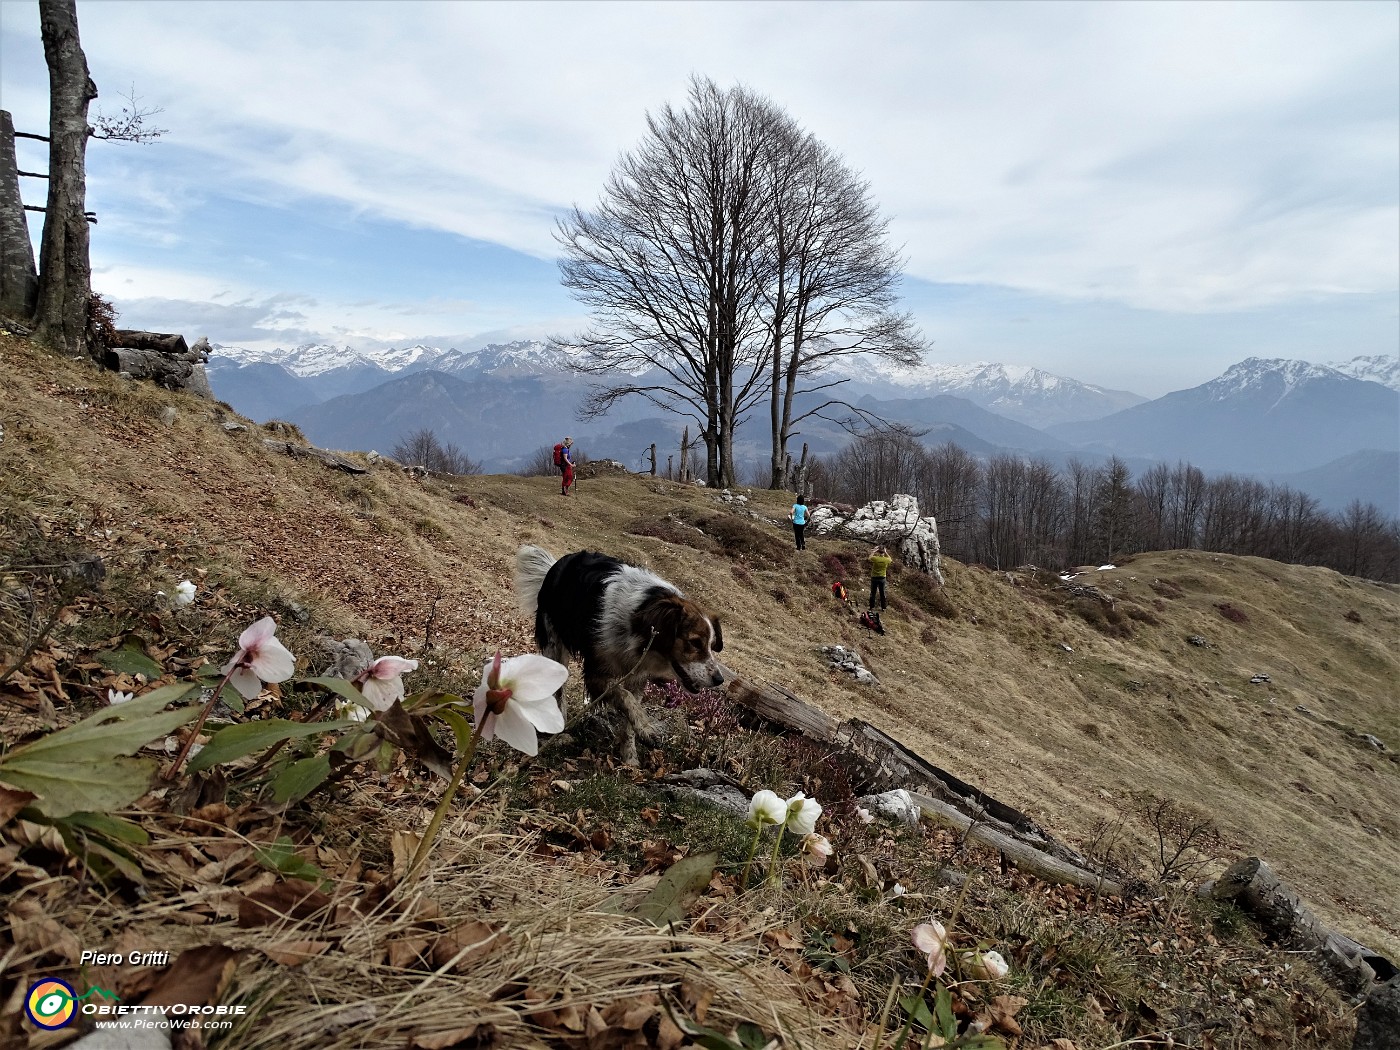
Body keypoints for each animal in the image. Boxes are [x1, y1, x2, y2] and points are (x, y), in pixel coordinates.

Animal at [520, 551, 728, 767]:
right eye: (695, 643)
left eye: (712, 645)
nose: (719, 679)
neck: (637, 621)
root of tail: (557, 564)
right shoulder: (596, 675)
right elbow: (624, 695)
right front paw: (647, 729)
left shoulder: (637, 676)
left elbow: (630, 709)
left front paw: (630, 757)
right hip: (555, 648)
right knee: (558, 690)